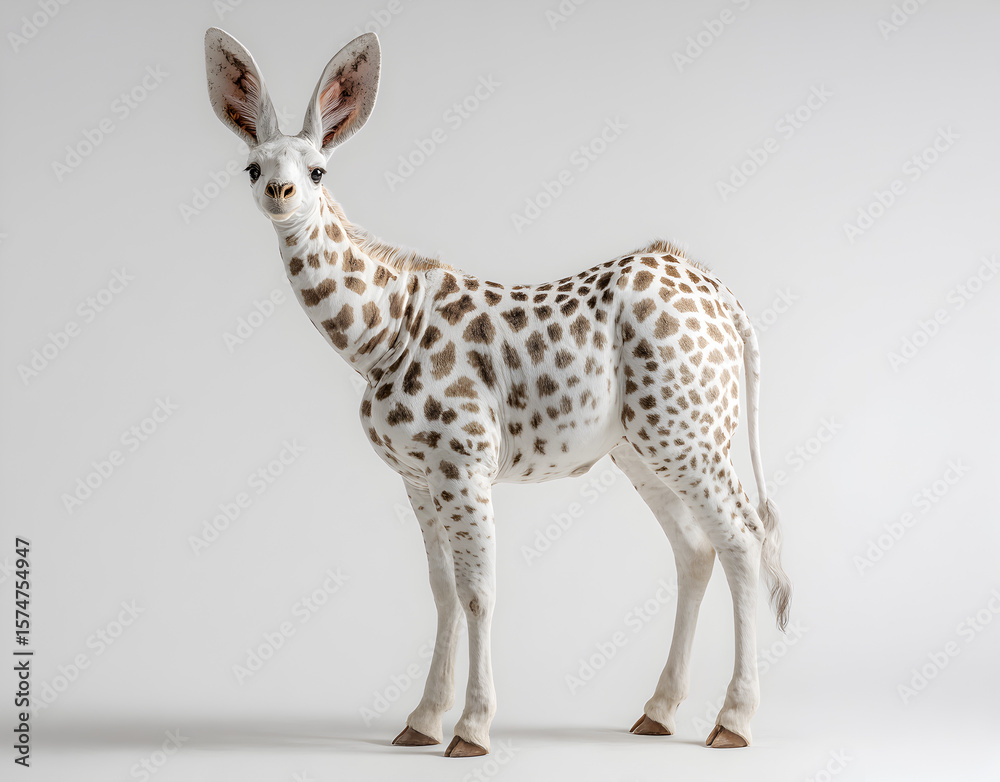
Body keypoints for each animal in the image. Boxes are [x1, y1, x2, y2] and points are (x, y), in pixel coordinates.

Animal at [205, 28, 791, 757]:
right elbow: (443, 591)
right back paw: (658, 712)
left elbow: (480, 592)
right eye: (252, 167)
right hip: (643, 449)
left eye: (318, 170)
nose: (282, 191)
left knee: (742, 538)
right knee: (696, 549)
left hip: (693, 433)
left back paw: (732, 722)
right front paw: (421, 722)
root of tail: (723, 295)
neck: (380, 334)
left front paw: (472, 731)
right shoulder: (418, 476)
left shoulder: (465, 462)